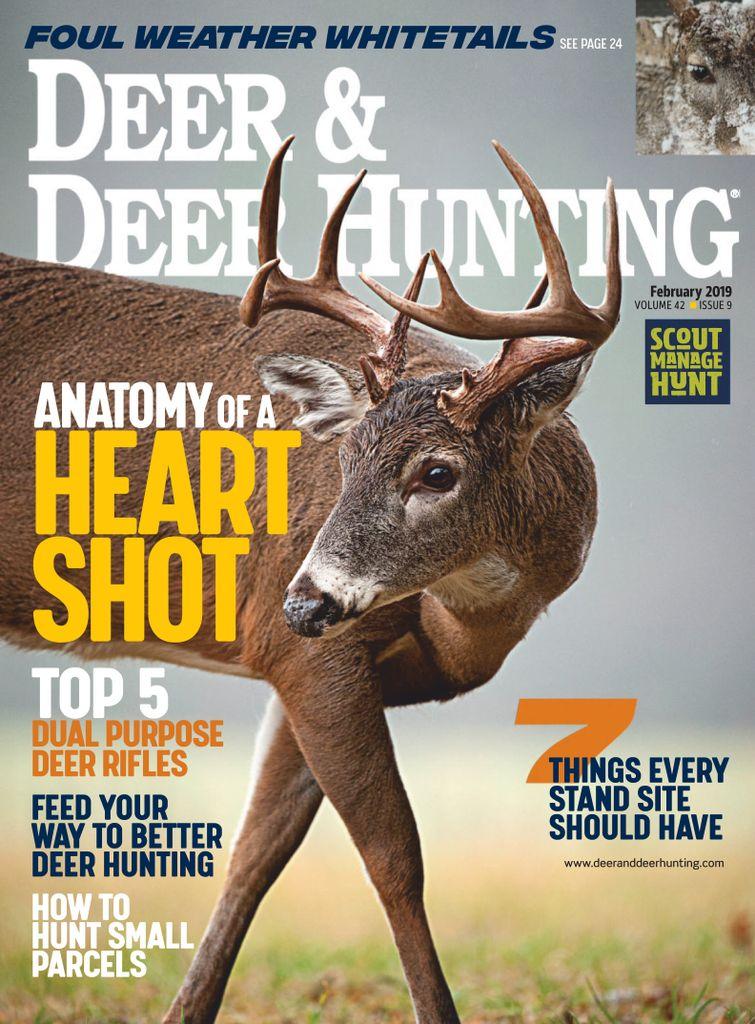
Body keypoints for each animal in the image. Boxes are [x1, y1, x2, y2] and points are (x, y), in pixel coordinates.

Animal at [0, 137, 620, 1024]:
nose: (305, 597)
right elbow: (394, 857)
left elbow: (255, 851)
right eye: (343, 458)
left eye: (437, 471)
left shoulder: (316, 663)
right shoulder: (302, 654)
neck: (461, 628)